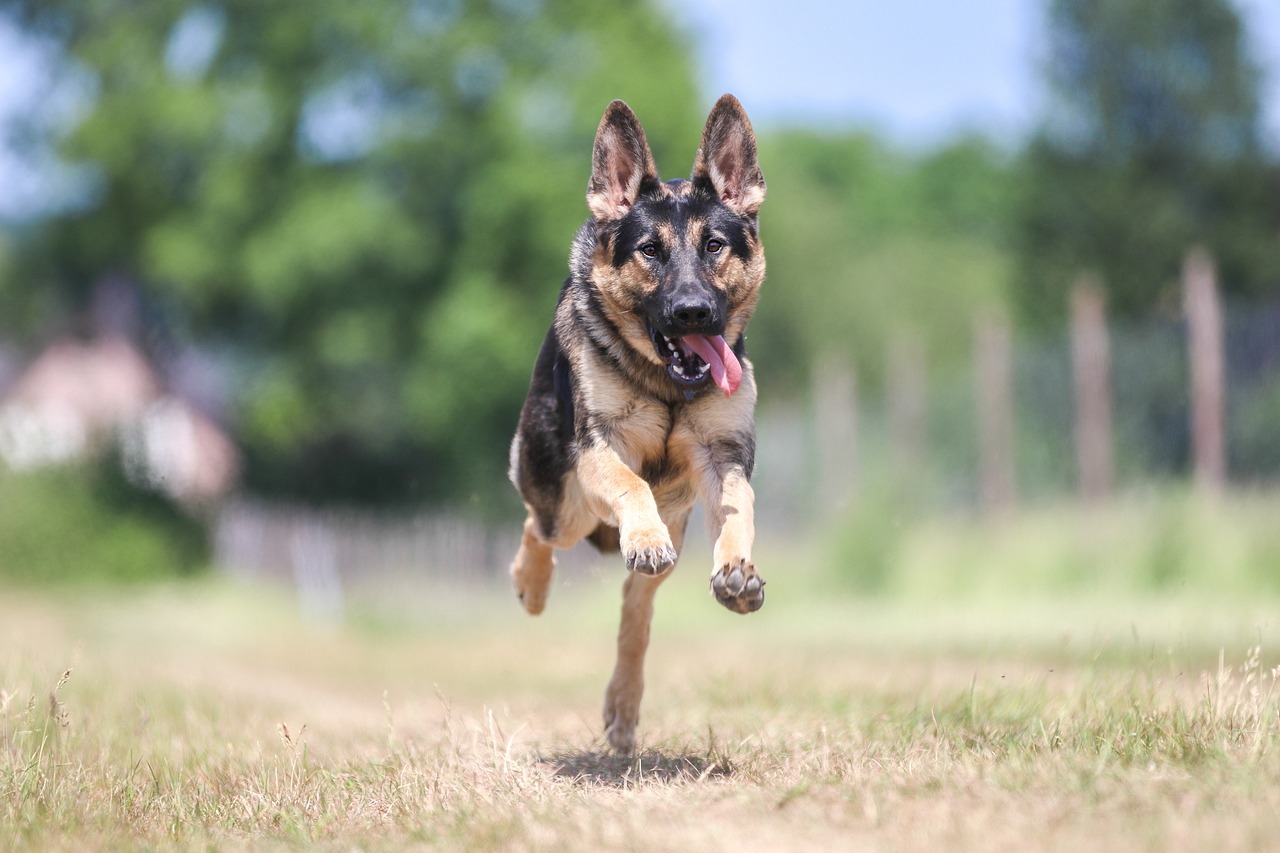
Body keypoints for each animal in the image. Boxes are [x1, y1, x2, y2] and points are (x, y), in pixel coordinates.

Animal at [509, 92, 768, 753]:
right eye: (650, 250)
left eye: (714, 246)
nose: (693, 312)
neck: (668, 386)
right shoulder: (602, 449)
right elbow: (631, 484)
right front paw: (643, 537)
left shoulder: (722, 455)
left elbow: (740, 510)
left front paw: (737, 573)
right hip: (567, 501)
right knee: (539, 528)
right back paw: (533, 585)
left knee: (635, 612)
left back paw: (623, 706)